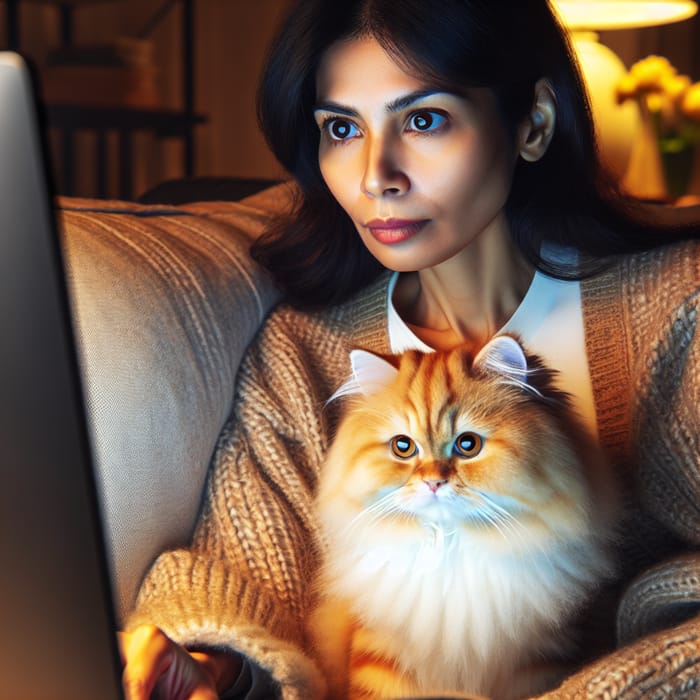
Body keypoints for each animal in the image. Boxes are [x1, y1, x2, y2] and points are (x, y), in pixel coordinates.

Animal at [310, 336, 616, 696]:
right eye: (403, 447)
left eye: (467, 444)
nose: (433, 482)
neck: (449, 548)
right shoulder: (379, 650)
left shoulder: (539, 658)